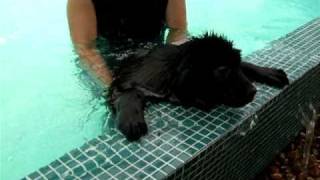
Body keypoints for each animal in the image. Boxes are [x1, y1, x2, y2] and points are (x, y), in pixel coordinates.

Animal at [108, 33, 290, 141]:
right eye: (222, 71)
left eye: (235, 66)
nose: (253, 91)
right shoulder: (128, 82)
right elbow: (129, 92)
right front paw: (131, 120)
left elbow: (246, 65)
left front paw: (270, 72)